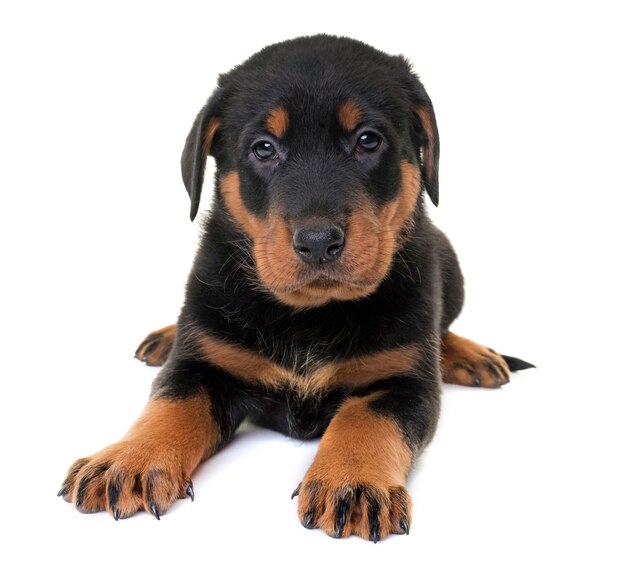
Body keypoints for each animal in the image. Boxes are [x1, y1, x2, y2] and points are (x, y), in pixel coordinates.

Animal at [58, 36, 532, 540]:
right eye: (264, 149)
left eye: (368, 140)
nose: (319, 241)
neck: (310, 313)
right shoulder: (200, 365)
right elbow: (170, 404)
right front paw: (128, 459)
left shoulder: (405, 380)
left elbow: (367, 417)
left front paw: (353, 481)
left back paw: (471, 355)